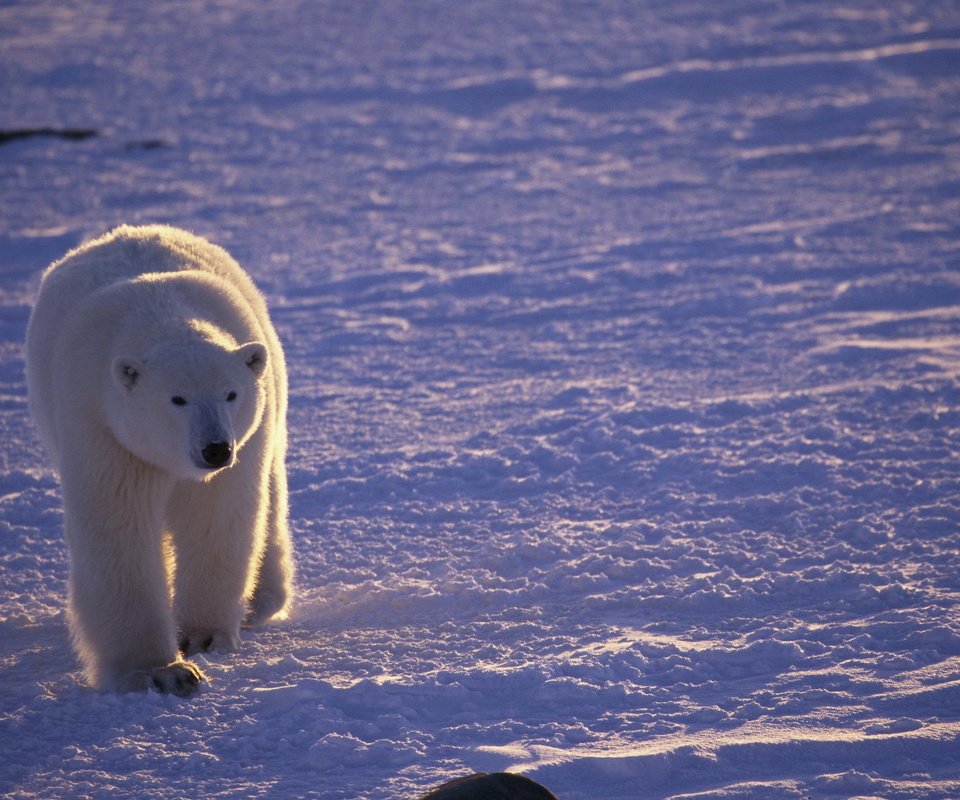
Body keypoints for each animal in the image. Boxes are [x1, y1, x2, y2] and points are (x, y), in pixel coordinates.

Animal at [28, 223, 294, 692]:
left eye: (231, 393)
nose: (215, 449)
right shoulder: (105, 427)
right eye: (177, 399)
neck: (161, 313)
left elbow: (214, 518)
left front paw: (202, 637)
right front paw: (161, 671)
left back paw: (261, 599)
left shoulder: (241, 444)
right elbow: (119, 528)